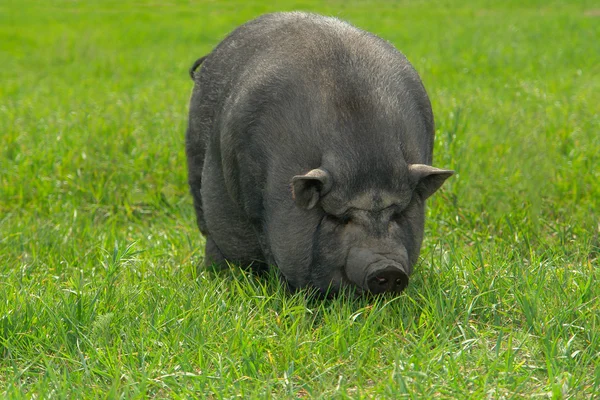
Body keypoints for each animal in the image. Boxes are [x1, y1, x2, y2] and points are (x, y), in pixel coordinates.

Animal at [185, 11, 452, 296]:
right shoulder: (255, 204)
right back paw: (215, 273)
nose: (388, 269)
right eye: (340, 218)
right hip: (195, 164)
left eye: (398, 213)